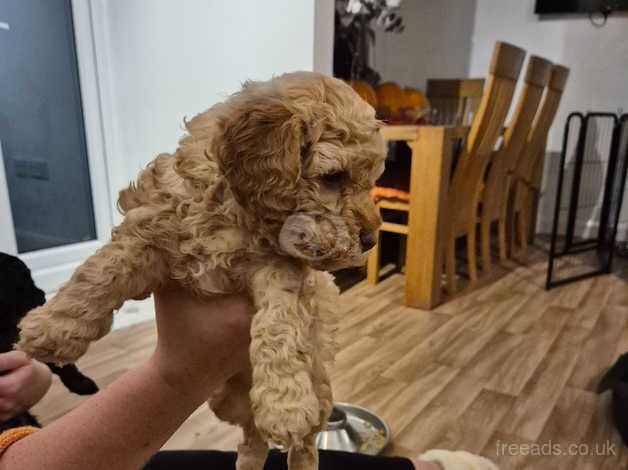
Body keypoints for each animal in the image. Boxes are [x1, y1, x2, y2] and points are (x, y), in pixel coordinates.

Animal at [17, 71, 386, 468]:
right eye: (332, 177)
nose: (370, 239)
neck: (229, 210)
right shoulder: (151, 229)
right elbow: (102, 269)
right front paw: (52, 327)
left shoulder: (282, 269)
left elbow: (280, 323)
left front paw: (285, 405)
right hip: (223, 400)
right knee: (252, 434)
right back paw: (247, 463)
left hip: (319, 388)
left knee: (303, 441)